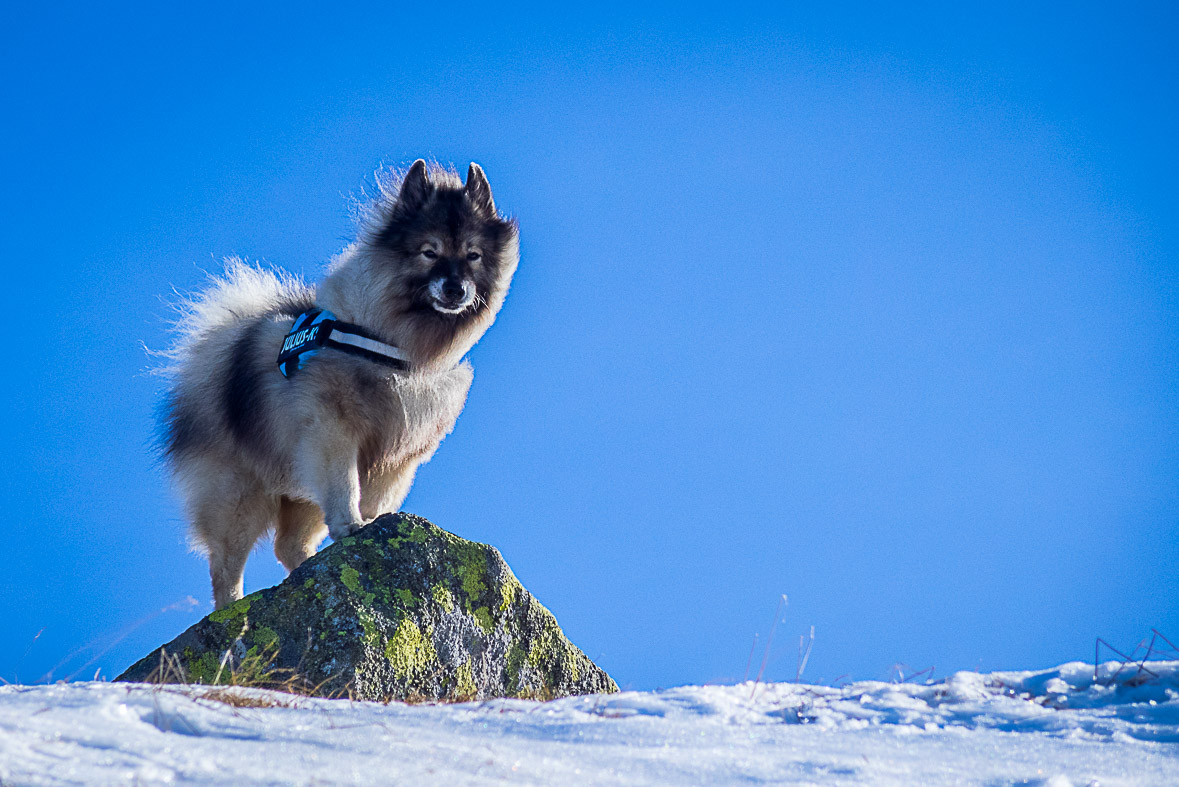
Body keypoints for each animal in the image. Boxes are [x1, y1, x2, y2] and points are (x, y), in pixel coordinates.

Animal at [157, 160, 521, 607]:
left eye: (473, 255)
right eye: (429, 252)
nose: (455, 288)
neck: (394, 345)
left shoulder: (396, 458)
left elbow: (377, 500)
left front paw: (372, 524)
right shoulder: (335, 433)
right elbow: (344, 486)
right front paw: (352, 525)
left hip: (296, 489)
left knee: (288, 545)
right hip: (240, 494)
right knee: (226, 564)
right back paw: (232, 608)